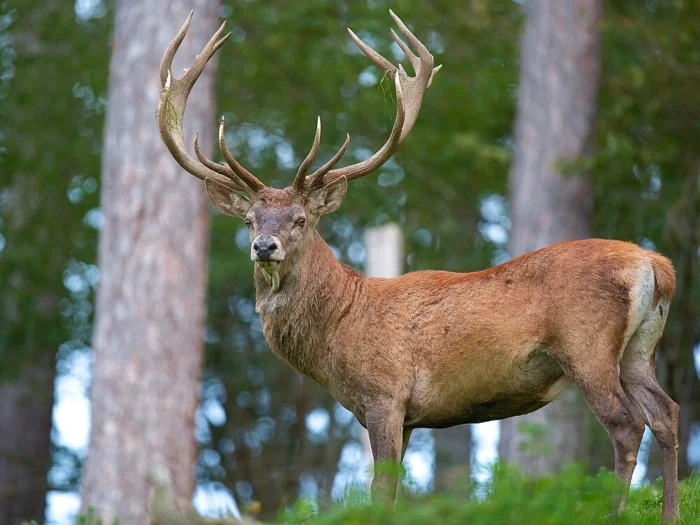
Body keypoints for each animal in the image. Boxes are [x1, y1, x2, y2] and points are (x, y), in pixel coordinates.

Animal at [157, 10, 680, 522]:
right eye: (249, 220)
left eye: (300, 219)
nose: (264, 246)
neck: (338, 327)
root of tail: (656, 265)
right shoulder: (406, 416)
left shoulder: (385, 395)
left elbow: (380, 491)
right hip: (639, 350)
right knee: (667, 413)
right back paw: (671, 513)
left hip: (586, 345)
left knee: (626, 424)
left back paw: (615, 512)